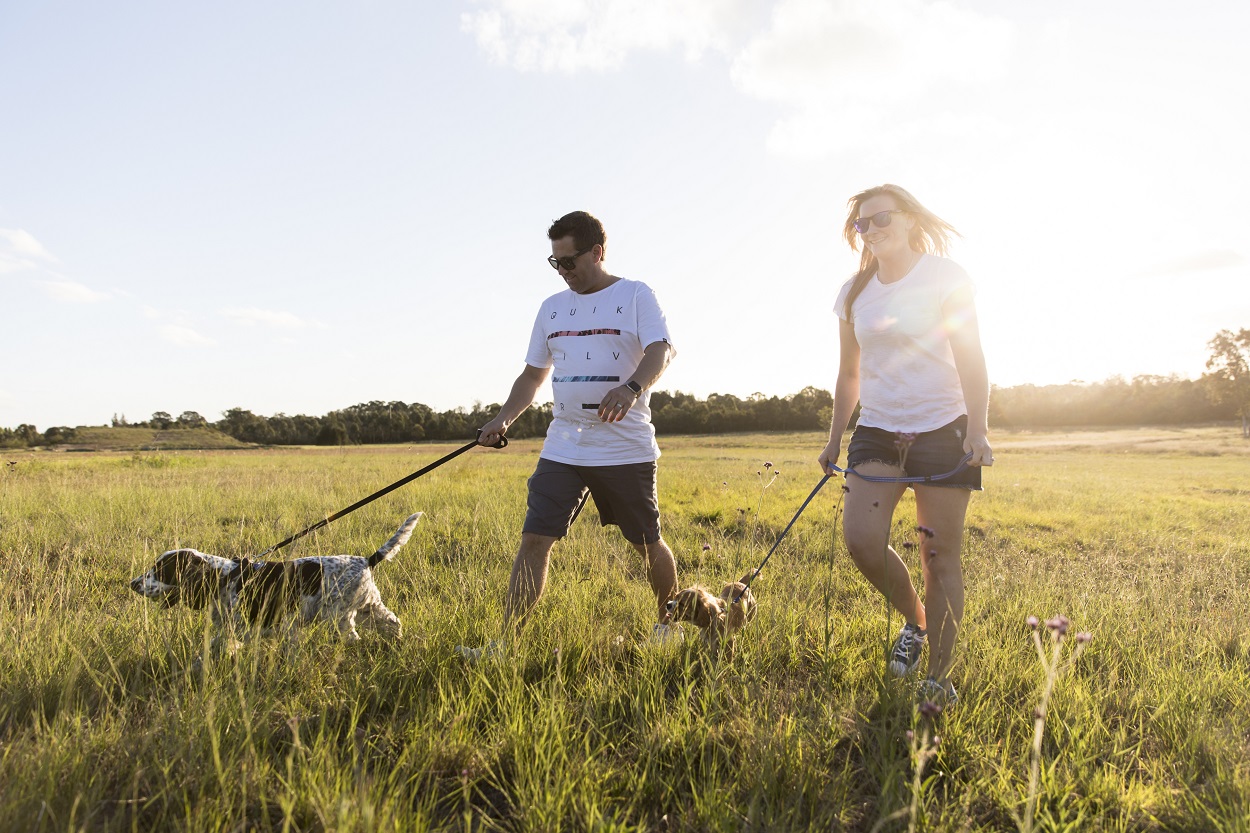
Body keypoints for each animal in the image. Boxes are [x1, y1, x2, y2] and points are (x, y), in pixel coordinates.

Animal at [130, 510, 425, 637]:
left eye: (160, 571)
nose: (132, 584)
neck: (226, 578)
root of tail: (366, 560)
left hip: (338, 616)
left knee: (352, 637)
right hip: (368, 607)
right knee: (393, 622)